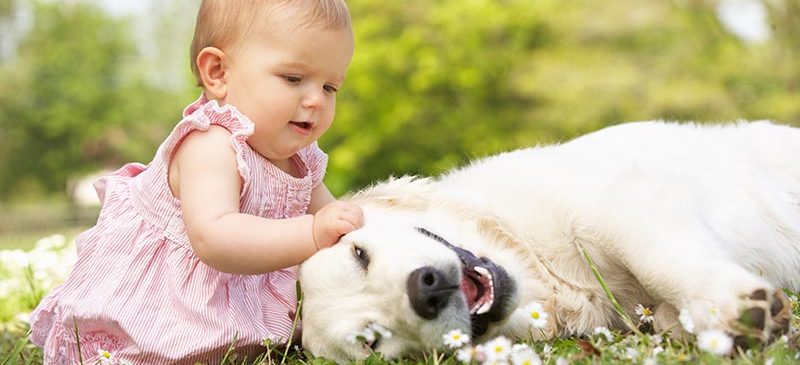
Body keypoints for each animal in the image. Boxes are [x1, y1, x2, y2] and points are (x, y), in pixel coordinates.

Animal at [296, 120, 796, 362]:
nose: (426, 290)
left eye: (359, 254)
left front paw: (730, 307)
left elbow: (659, 260)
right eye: (371, 341)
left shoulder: (620, 202)